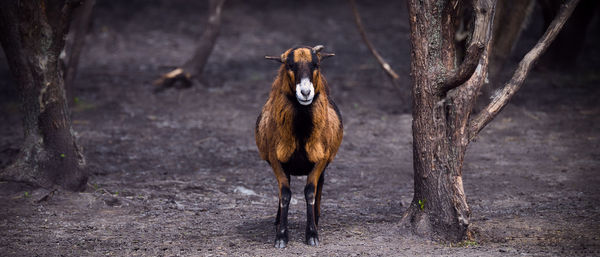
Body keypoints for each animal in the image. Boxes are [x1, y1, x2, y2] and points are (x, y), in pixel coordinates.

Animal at [255, 45, 344, 247]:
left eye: (315, 64)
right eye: (290, 65)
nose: (305, 93)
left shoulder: (321, 159)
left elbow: (310, 192)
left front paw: (312, 234)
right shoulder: (276, 159)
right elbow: (285, 194)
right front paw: (281, 237)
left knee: (320, 184)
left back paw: (316, 218)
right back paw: (278, 219)